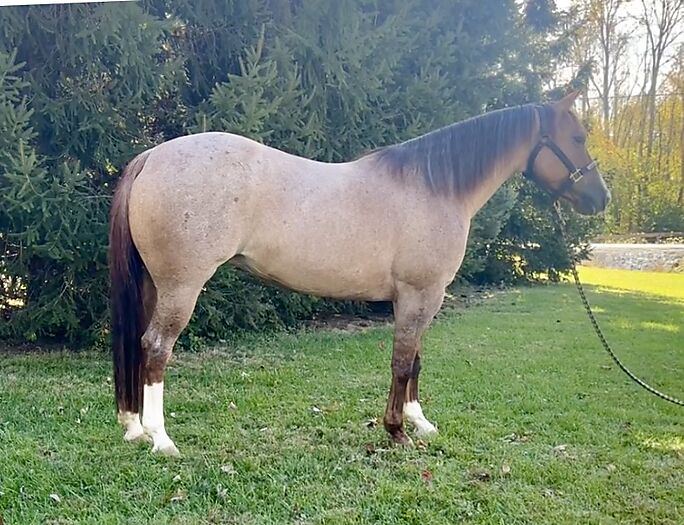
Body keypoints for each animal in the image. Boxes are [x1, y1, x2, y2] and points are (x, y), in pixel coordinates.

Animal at [109, 91, 610, 456]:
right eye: (578, 137)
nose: (600, 198)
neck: (435, 187)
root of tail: (152, 156)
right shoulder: (421, 294)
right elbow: (402, 361)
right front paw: (396, 431)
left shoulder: (418, 298)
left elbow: (415, 360)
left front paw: (420, 422)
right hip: (182, 287)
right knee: (157, 347)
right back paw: (161, 439)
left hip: (155, 285)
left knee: (139, 343)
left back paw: (134, 427)